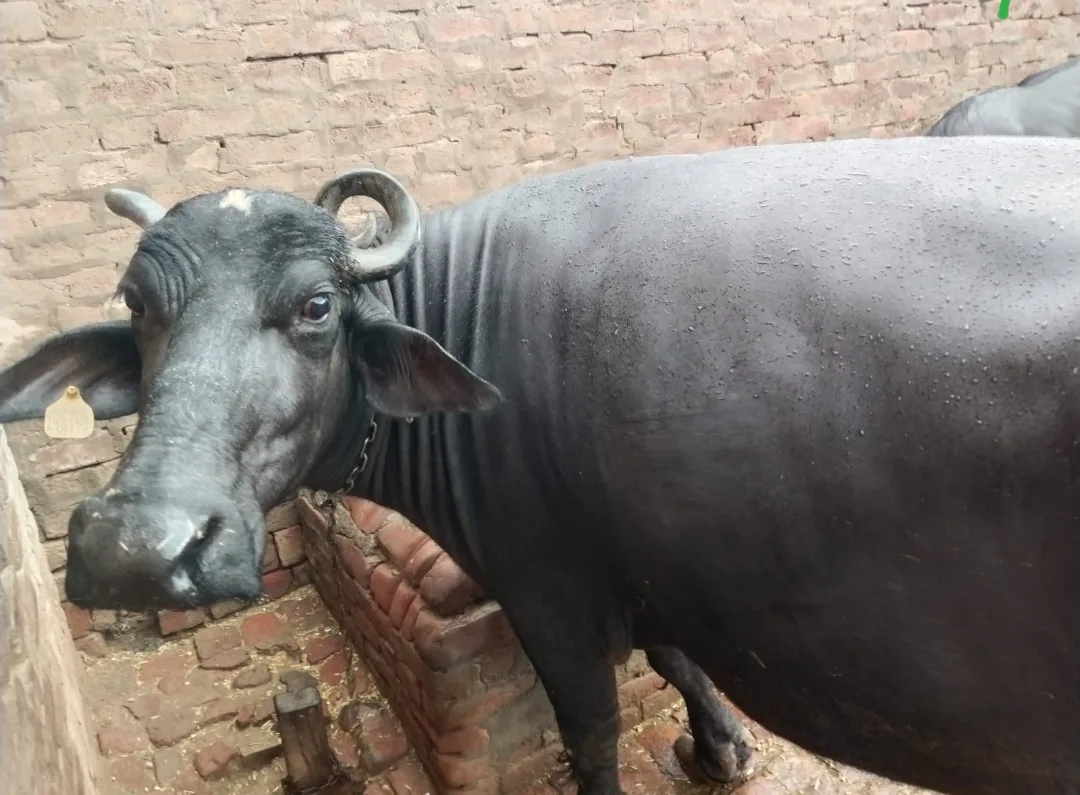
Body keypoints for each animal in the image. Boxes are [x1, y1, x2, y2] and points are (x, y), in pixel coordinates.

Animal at [2, 135, 1079, 795]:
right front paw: (721, 747)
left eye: (315, 305)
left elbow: (591, 727)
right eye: (138, 304)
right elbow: (676, 654)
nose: (140, 547)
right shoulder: (637, 554)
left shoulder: (546, 587)